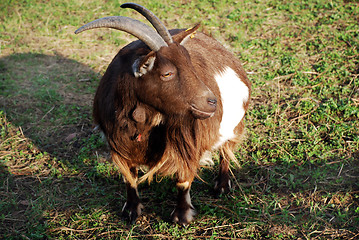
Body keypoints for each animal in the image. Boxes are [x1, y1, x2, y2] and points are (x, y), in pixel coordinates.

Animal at [75, 2, 252, 225]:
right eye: (166, 73)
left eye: (190, 63)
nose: (212, 103)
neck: (145, 120)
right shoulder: (119, 143)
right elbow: (129, 177)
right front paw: (131, 210)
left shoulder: (187, 140)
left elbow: (183, 180)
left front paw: (182, 216)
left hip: (234, 124)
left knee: (226, 150)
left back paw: (221, 186)